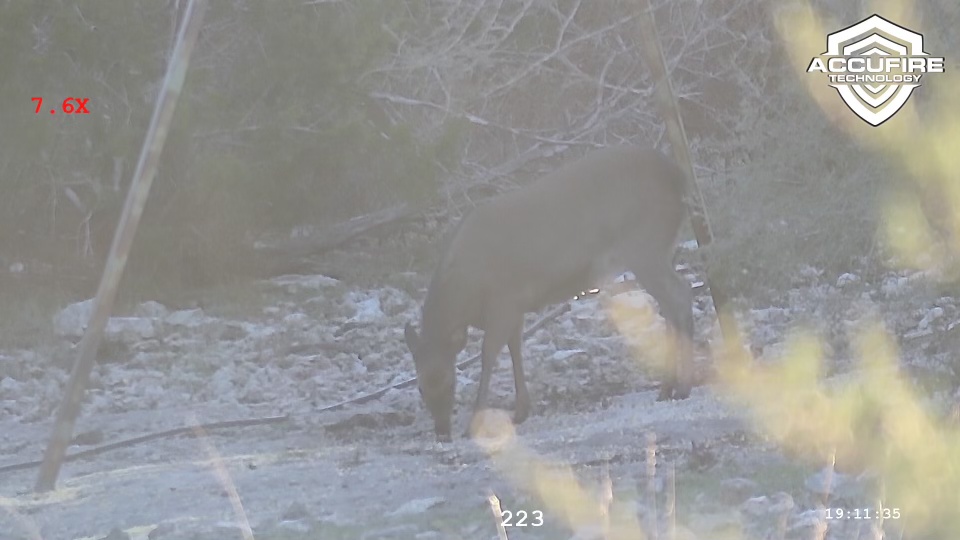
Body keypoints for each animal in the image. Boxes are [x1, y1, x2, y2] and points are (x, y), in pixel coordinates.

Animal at [404, 145, 694, 442]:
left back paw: (681, 387)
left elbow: (488, 355)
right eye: (420, 387)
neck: (465, 294)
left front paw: (474, 422)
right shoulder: (515, 308)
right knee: (672, 303)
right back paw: (670, 387)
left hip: (645, 245)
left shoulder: (503, 301)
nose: (442, 432)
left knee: (679, 297)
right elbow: (515, 348)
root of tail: (677, 176)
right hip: (659, 248)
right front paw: (521, 411)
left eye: (450, 381)